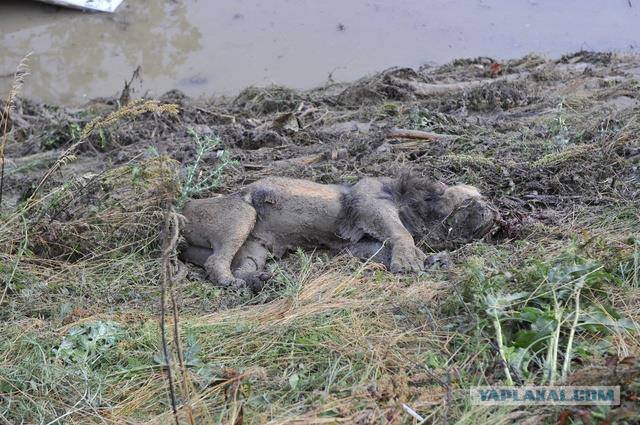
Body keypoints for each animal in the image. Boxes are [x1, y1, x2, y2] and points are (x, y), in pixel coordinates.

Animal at [180, 174, 496, 290]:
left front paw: (431, 260)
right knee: (215, 262)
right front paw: (409, 260)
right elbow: (400, 234)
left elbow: (381, 250)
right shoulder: (372, 204)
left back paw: (260, 279)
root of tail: (185, 209)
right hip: (243, 215)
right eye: (470, 201)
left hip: (256, 247)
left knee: (239, 265)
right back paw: (232, 283)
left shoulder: (357, 245)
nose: (494, 211)